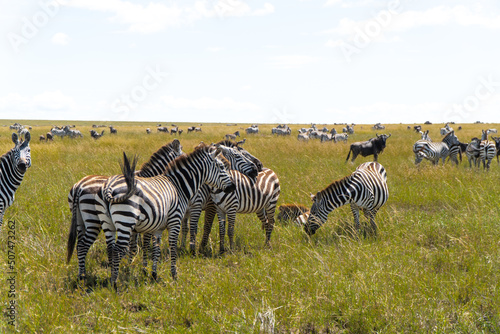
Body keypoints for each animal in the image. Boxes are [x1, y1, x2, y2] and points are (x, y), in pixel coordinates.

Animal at [65, 138, 184, 282]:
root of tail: (79, 186)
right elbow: (137, 245)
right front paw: (132, 266)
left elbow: (132, 245)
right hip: (93, 220)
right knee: (83, 245)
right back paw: (83, 276)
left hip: (80, 220)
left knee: (79, 245)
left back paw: (82, 275)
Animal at [102, 144, 235, 288]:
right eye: (221, 167)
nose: (233, 187)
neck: (179, 186)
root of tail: (110, 187)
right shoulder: (175, 221)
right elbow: (172, 246)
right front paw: (174, 275)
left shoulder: (158, 228)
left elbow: (156, 249)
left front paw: (154, 275)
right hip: (126, 221)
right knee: (117, 250)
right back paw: (115, 283)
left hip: (109, 224)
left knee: (111, 249)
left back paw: (112, 279)